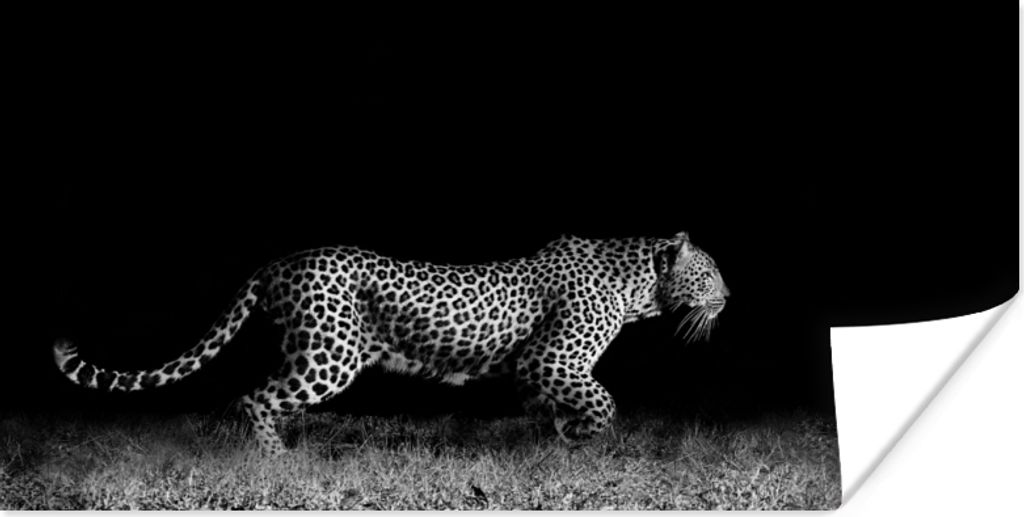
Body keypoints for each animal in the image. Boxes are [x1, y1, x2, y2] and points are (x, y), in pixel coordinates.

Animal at [53, 231, 729, 456]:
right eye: (712, 271)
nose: (732, 294)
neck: (639, 286)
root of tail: (278, 262)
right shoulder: (550, 359)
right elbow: (604, 401)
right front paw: (583, 437)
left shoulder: (534, 371)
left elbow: (554, 406)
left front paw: (560, 438)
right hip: (330, 354)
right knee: (255, 397)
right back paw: (278, 460)